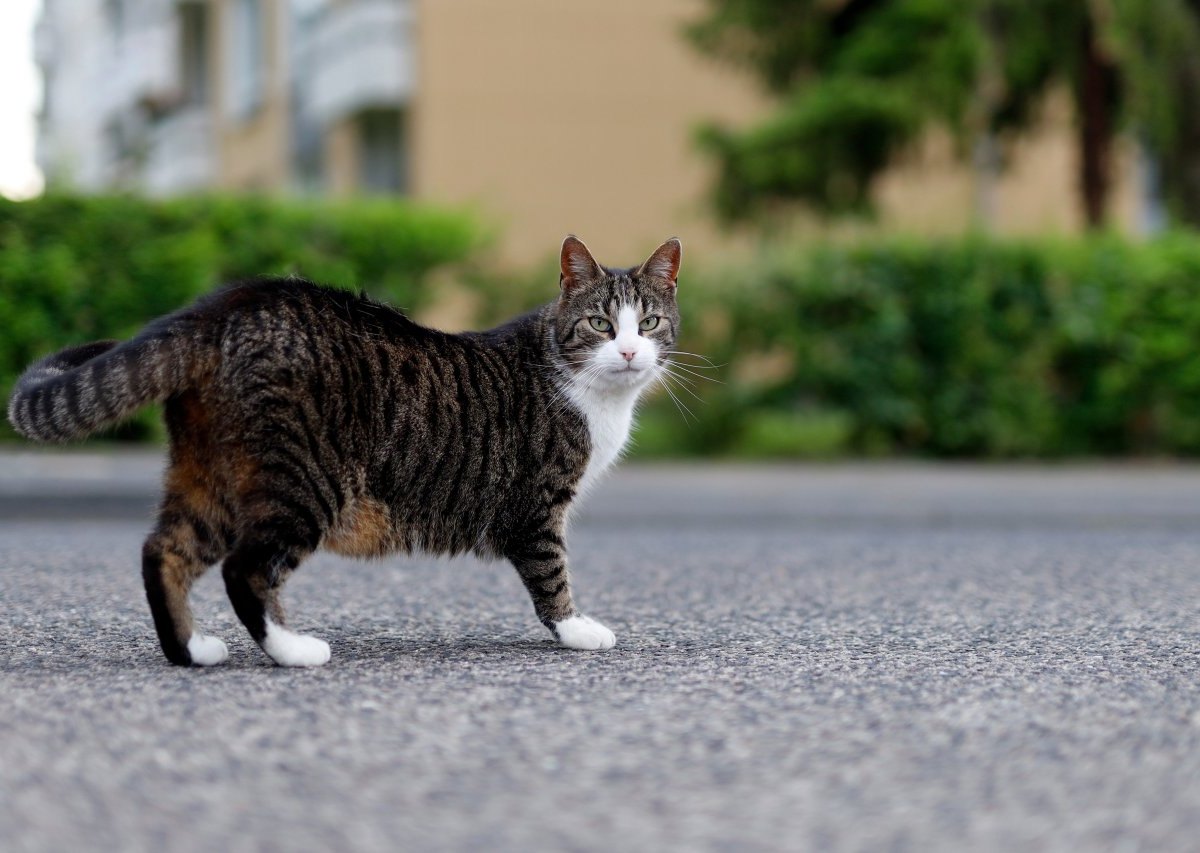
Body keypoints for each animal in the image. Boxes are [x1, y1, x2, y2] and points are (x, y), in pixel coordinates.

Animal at [7, 236, 686, 671]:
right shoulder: (538, 507)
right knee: (245, 569)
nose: (630, 352)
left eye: (650, 323)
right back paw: (293, 651)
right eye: (600, 325)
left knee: (164, 552)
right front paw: (577, 630)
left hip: (212, 477)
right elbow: (552, 573)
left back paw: (191, 651)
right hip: (304, 481)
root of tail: (223, 304)